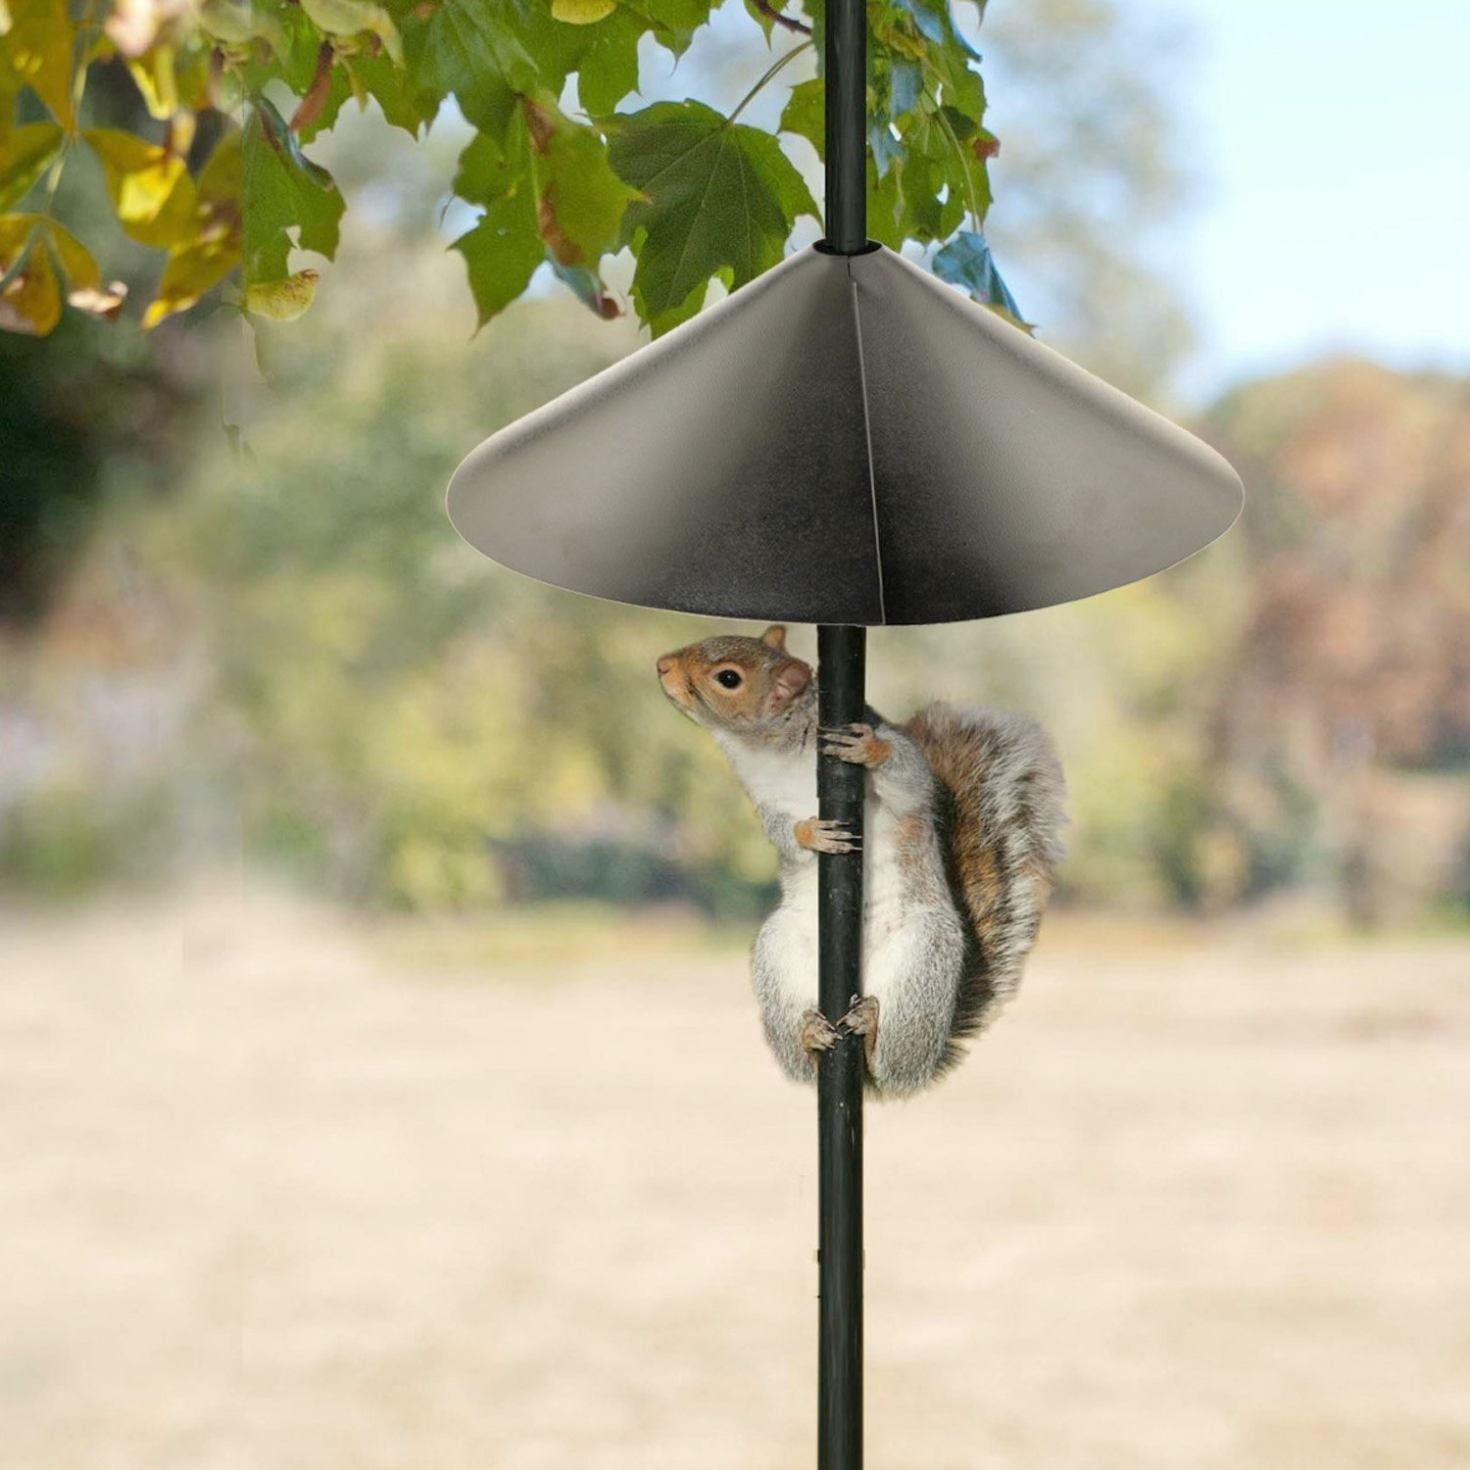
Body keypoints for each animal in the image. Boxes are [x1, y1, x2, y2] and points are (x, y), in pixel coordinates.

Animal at [657, 625, 1066, 1098]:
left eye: (728, 678)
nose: (662, 666)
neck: (772, 750)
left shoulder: (903, 773)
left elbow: (911, 778)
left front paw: (870, 749)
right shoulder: (765, 802)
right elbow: (781, 832)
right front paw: (811, 835)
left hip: (923, 960)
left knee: (891, 1065)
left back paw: (871, 1033)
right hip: (777, 955)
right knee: (805, 1065)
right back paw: (810, 1036)